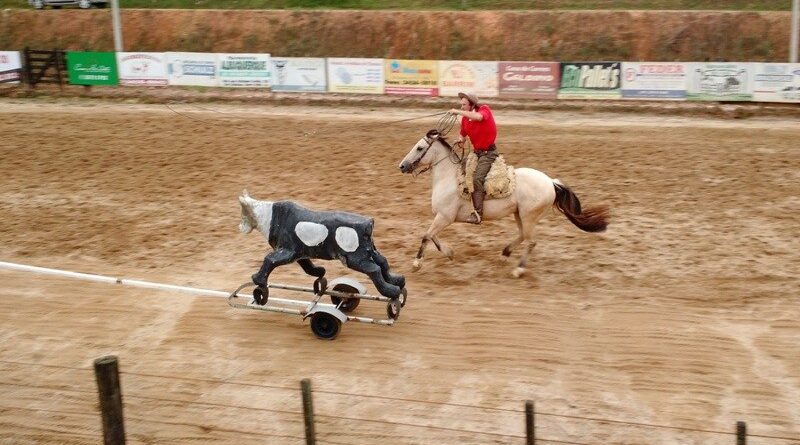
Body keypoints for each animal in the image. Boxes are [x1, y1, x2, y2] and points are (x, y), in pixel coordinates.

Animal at [234, 189, 404, 304]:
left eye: (243, 213)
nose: (239, 228)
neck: (268, 216)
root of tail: (368, 223)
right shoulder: (299, 253)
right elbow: (308, 266)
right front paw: (320, 272)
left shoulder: (286, 251)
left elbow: (269, 260)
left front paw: (258, 280)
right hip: (369, 251)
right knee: (383, 262)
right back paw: (398, 282)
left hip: (355, 259)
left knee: (374, 270)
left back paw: (391, 291)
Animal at [396, 126, 608, 278]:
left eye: (420, 148)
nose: (402, 166)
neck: (450, 178)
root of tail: (551, 182)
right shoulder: (443, 218)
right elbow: (433, 237)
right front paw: (449, 253)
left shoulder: (445, 217)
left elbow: (426, 235)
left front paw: (416, 264)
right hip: (519, 214)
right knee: (523, 236)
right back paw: (504, 255)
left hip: (529, 216)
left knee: (531, 242)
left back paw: (518, 269)